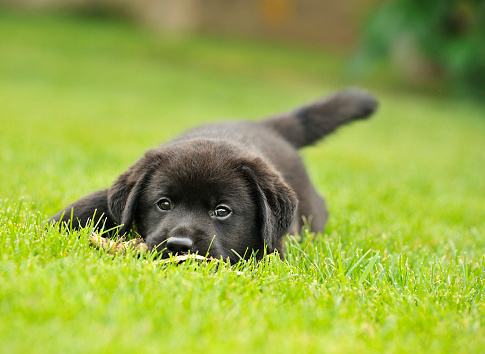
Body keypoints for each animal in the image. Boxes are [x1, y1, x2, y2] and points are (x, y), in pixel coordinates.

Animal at [52, 88, 378, 260]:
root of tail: (267, 126)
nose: (179, 246)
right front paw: (50, 230)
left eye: (222, 211)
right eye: (164, 204)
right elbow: (89, 206)